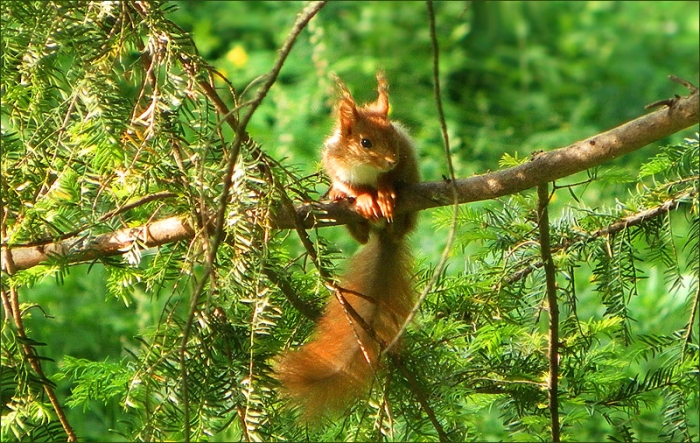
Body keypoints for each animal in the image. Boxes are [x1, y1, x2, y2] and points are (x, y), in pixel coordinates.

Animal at [273, 72, 420, 420]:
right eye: (365, 142)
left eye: (393, 136)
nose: (391, 159)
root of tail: (387, 237)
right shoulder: (334, 163)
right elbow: (346, 183)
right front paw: (354, 195)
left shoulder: (405, 158)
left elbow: (391, 179)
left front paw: (384, 191)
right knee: (362, 237)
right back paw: (356, 216)